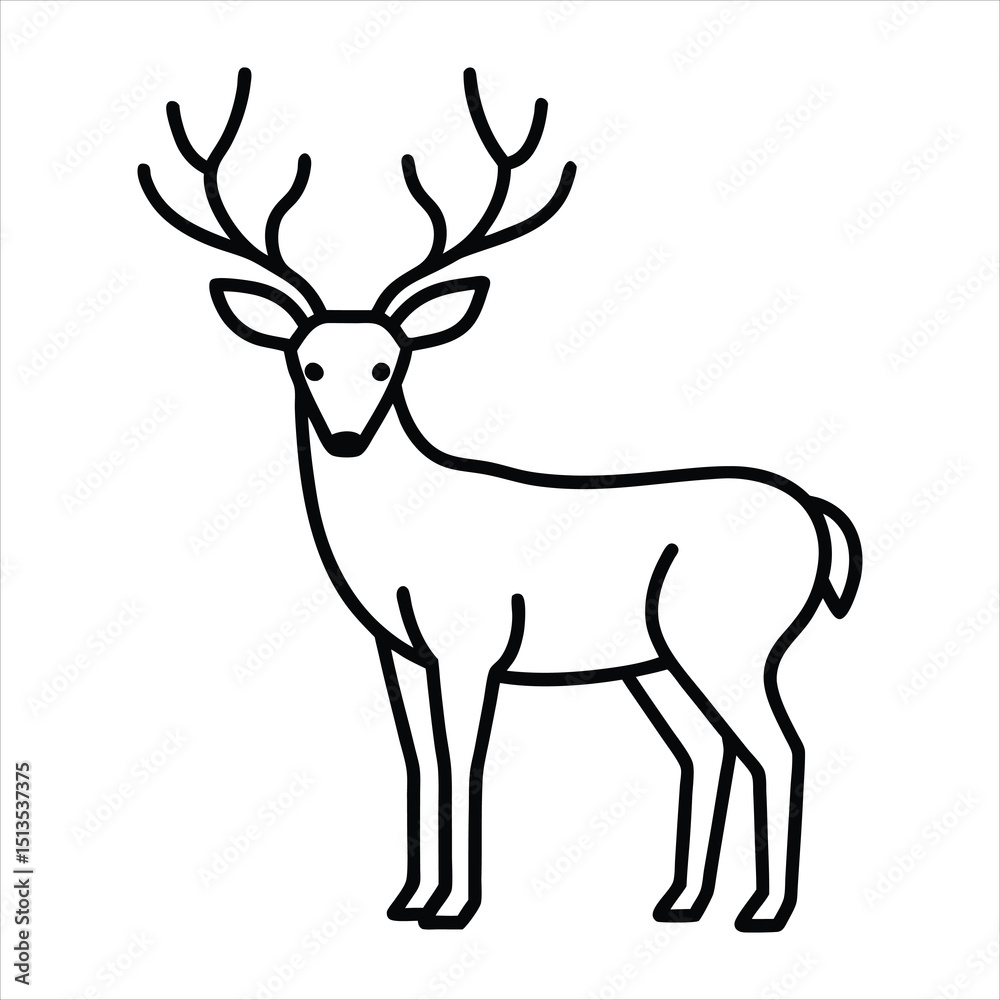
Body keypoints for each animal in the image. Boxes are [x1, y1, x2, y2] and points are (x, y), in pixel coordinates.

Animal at [138, 67, 861, 930]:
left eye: (388, 364)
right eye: (305, 363)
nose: (345, 436)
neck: (399, 536)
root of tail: (816, 514)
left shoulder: (472, 642)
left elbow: (464, 759)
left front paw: (453, 906)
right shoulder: (399, 650)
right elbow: (418, 760)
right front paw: (409, 898)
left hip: (734, 639)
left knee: (781, 745)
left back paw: (766, 911)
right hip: (660, 662)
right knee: (707, 748)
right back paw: (683, 902)